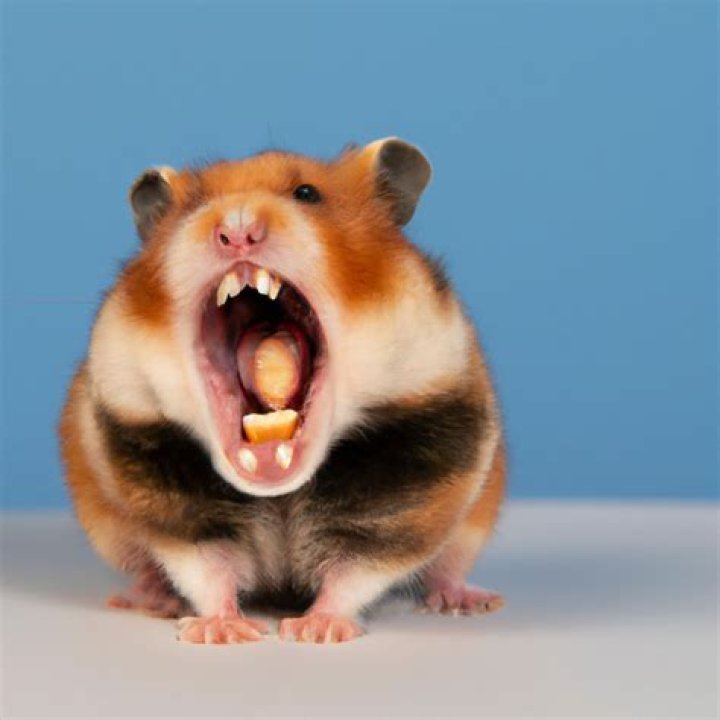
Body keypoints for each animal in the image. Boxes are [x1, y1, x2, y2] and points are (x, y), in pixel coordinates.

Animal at [59, 138, 506, 644]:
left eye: (307, 193)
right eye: (194, 206)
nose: (236, 229)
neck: (278, 491)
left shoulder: (416, 482)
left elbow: (356, 570)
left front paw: (316, 631)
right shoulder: (169, 496)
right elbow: (208, 568)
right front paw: (219, 632)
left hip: (471, 524)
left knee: (447, 567)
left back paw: (468, 602)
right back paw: (151, 600)